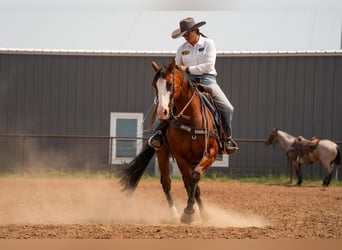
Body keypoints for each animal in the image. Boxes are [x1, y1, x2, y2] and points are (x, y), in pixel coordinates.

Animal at [120, 59, 222, 225]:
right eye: (155, 85)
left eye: (169, 84)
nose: (162, 112)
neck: (190, 119)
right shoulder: (180, 157)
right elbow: (189, 182)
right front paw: (188, 213)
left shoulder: (210, 154)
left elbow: (194, 178)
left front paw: (196, 213)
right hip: (161, 152)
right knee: (167, 182)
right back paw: (174, 214)